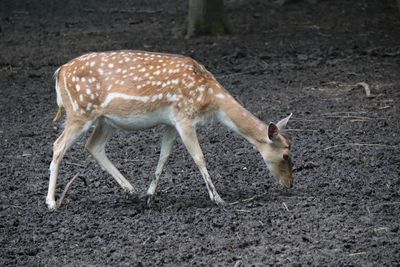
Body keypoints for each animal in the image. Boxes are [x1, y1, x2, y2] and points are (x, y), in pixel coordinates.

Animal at [46, 49, 294, 210]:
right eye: (285, 154)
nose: (290, 184)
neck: (211, 99)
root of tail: (59, 72)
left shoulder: (170, 122)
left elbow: (164, 156)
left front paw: (149, 196)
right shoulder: (184, 117)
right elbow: (199, 157)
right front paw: (218, 199)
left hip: (105, 120)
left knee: (93, 146)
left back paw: (131, 190)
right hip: (79, 112)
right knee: (58, 145)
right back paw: (51, 202)